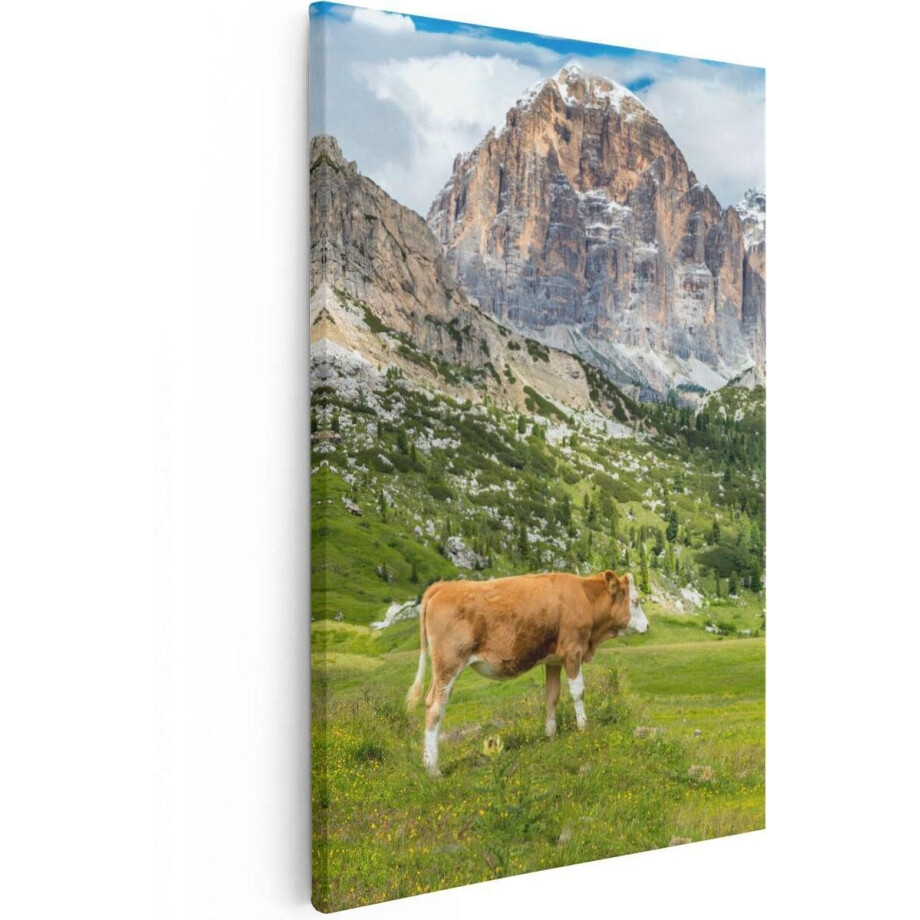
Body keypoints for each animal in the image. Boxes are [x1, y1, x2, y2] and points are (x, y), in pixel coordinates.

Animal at [405, 570, 649, 777]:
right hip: (448, 664)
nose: (647, 625)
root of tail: (442, 587)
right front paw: (583, 728)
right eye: (635, 601)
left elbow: (552, 696)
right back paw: (433, 769)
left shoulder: (553, 659)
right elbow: (578, 692)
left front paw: (550, 734)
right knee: (435, 707)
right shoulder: (572, 651)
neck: (584, 598)